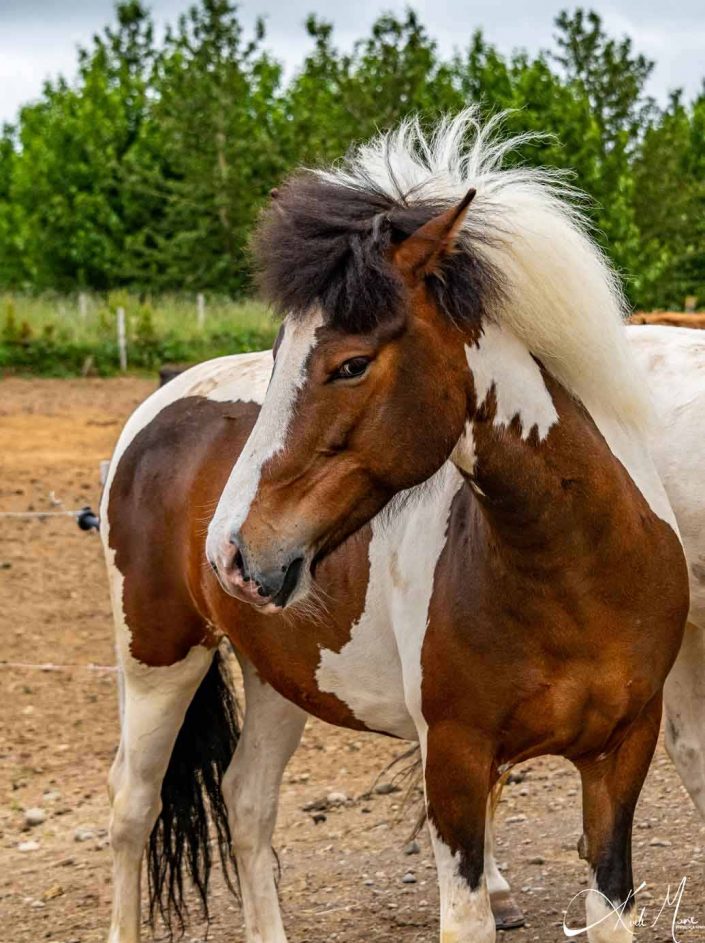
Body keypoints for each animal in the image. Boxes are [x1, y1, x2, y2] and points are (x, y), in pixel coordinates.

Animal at [100, 116, 688, 943]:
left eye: (350, 364)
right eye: (280, 357)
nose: (231, 552)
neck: (578, 574)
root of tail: (162, 405)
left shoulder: (622, 751)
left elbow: (609, 912)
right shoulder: (454, 759)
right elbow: (466, 919)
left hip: (277, 671)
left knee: (247, 802)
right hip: (156, 658)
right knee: (133, 806)